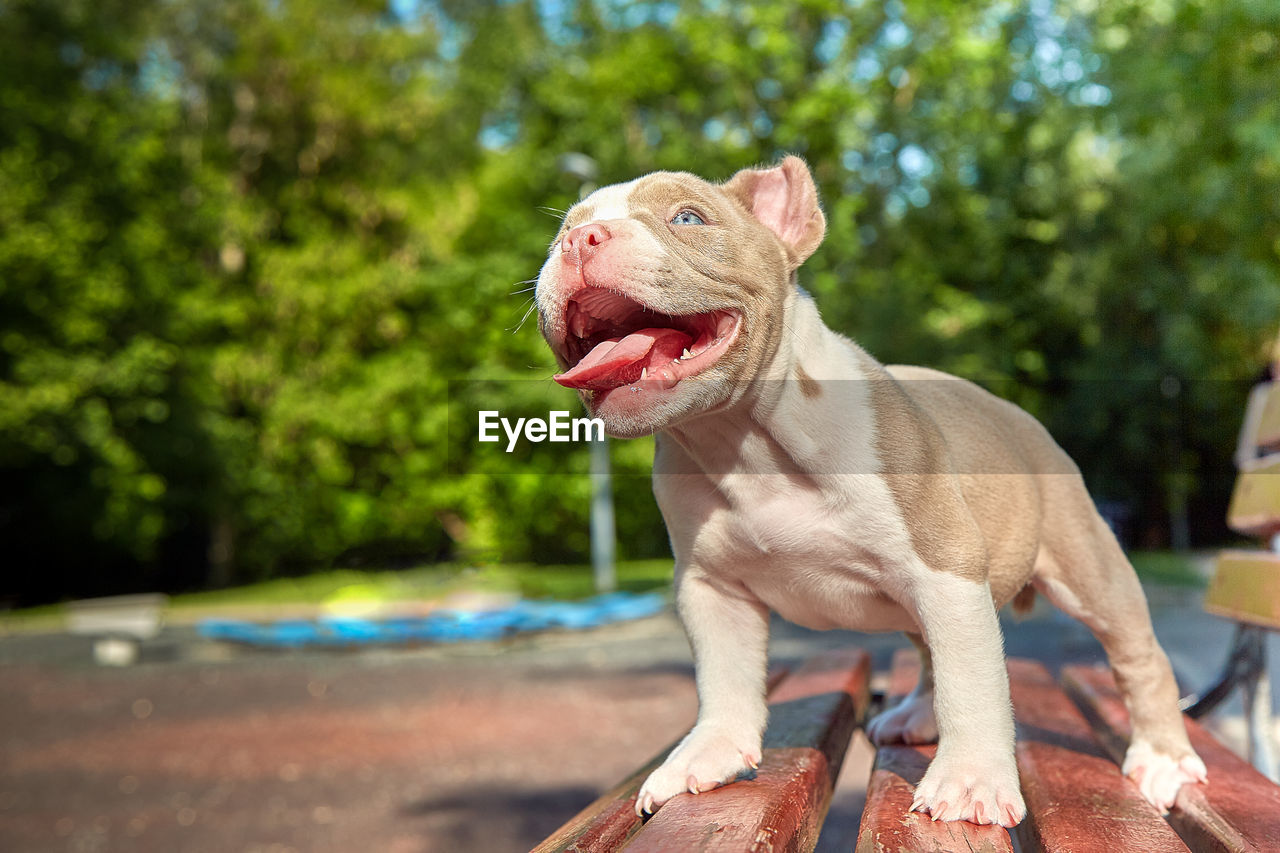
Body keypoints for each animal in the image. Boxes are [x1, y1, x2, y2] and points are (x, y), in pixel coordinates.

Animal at [532, 154, 1208, 824]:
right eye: (564, 227)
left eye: (689, 218)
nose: (580, 239)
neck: (744, 443)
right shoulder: (711, 586)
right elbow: (723, 680)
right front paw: (708, 753)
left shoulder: (945, 567)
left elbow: (973, 683)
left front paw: (970, 780)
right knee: (933, 654)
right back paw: (917, 716)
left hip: (1086, 565)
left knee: (1136, 656)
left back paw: (1164, 757)